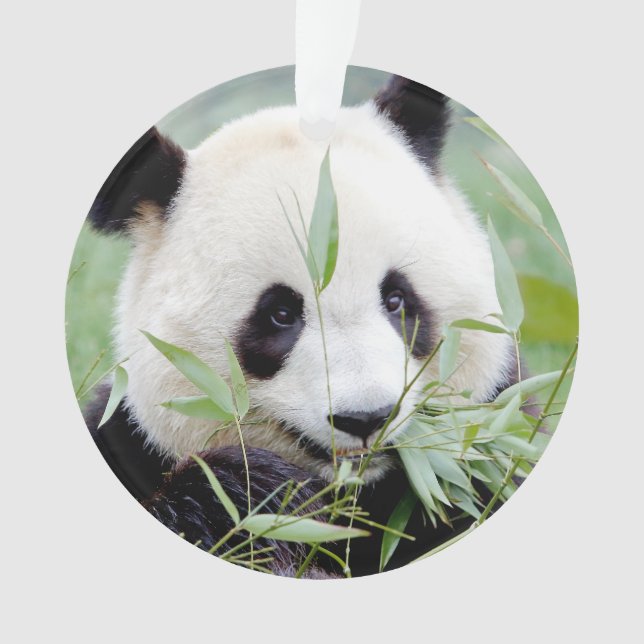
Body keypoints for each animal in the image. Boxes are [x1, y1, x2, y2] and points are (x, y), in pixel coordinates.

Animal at [85, 75, 517, 578]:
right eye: (280, 314)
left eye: (396, 299)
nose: (365, 418)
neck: (355, 493)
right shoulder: (130, 439)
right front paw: (263, 493)